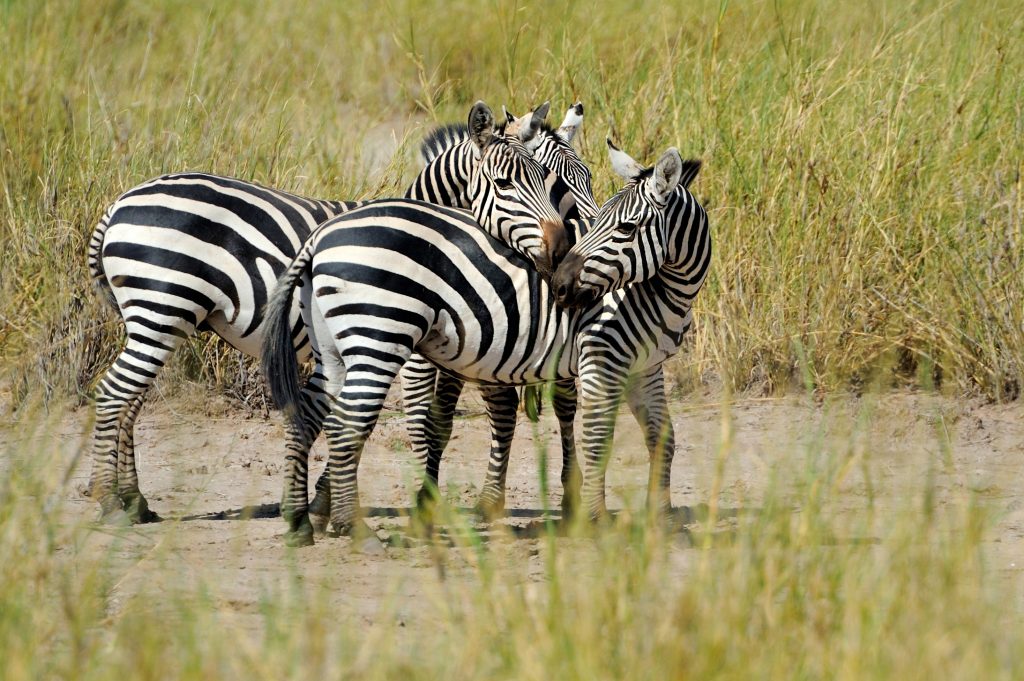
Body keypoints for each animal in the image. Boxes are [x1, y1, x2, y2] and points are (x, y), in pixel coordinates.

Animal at [83, 102, 573, 524]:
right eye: (508, 184)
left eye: (552, 182)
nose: (562, 250)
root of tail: (119, 203)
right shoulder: (410, 346)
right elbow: (419, 421)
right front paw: (401, 503)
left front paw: (320, 501)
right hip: (161, 309)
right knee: (115, 393)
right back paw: (110, 501)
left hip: (154, 319)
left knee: (130, 400)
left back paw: (133, 499)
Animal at [262, 142, 712, 540]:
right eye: (606, 222)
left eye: (626, 227)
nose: (561, 286)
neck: (657, 290)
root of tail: (321, 234)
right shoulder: (603, 356)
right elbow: (598, 440)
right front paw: (597, 524)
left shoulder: (646, 367)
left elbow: (663, 438)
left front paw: (662, 518)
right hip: (380, 334)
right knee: (345, 425)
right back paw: (352, 528)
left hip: (334, 348)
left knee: (308, 415)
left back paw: (299, 522)